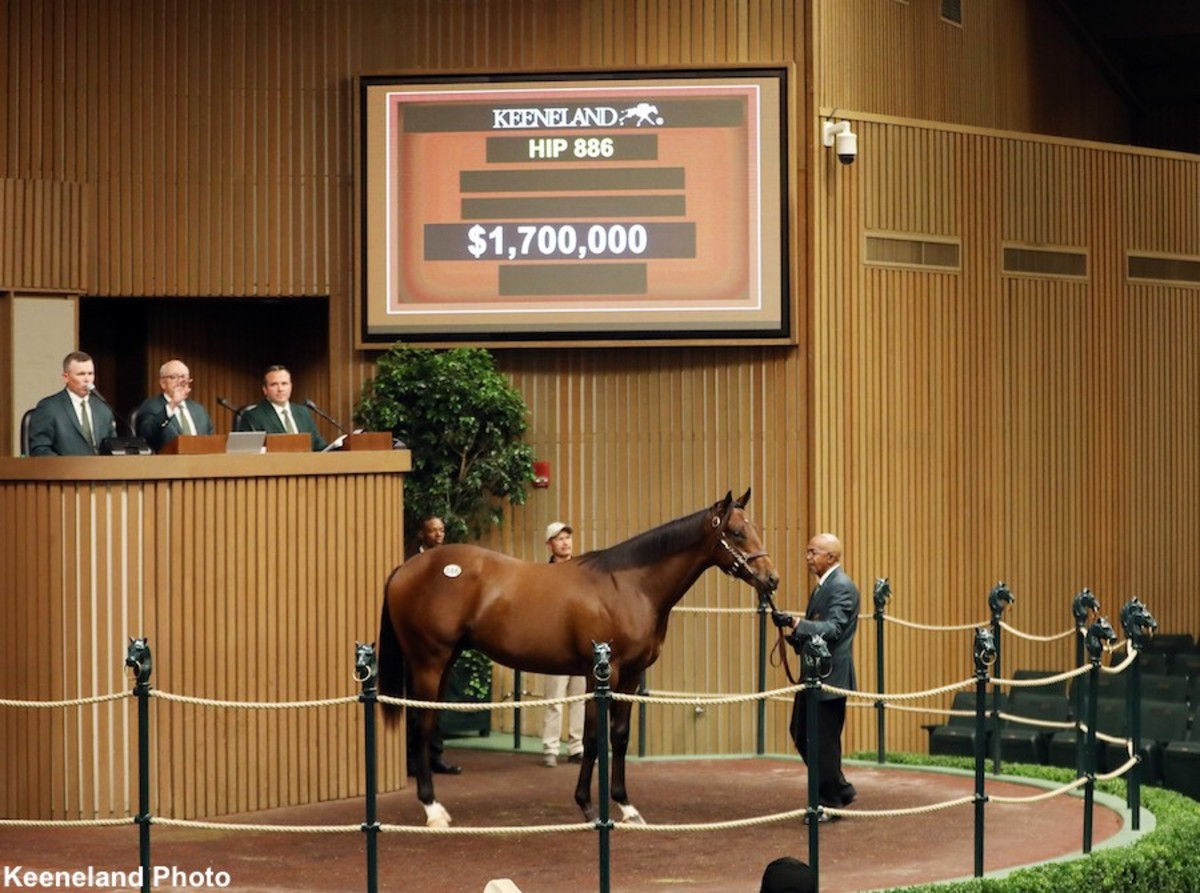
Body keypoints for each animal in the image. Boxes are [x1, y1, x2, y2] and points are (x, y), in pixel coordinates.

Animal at [379, 492, 782, 825]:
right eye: (736, 532)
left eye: (755, 529)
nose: (772, 579)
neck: (629, 585)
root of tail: (404, 569)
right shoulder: (599, 674)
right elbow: (592, 737)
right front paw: (588, 806)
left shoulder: (630, 676)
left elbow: (619, 736)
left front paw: (627, 806)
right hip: (429, 662)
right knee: (421, 725)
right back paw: (432, 809)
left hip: (445, 662)